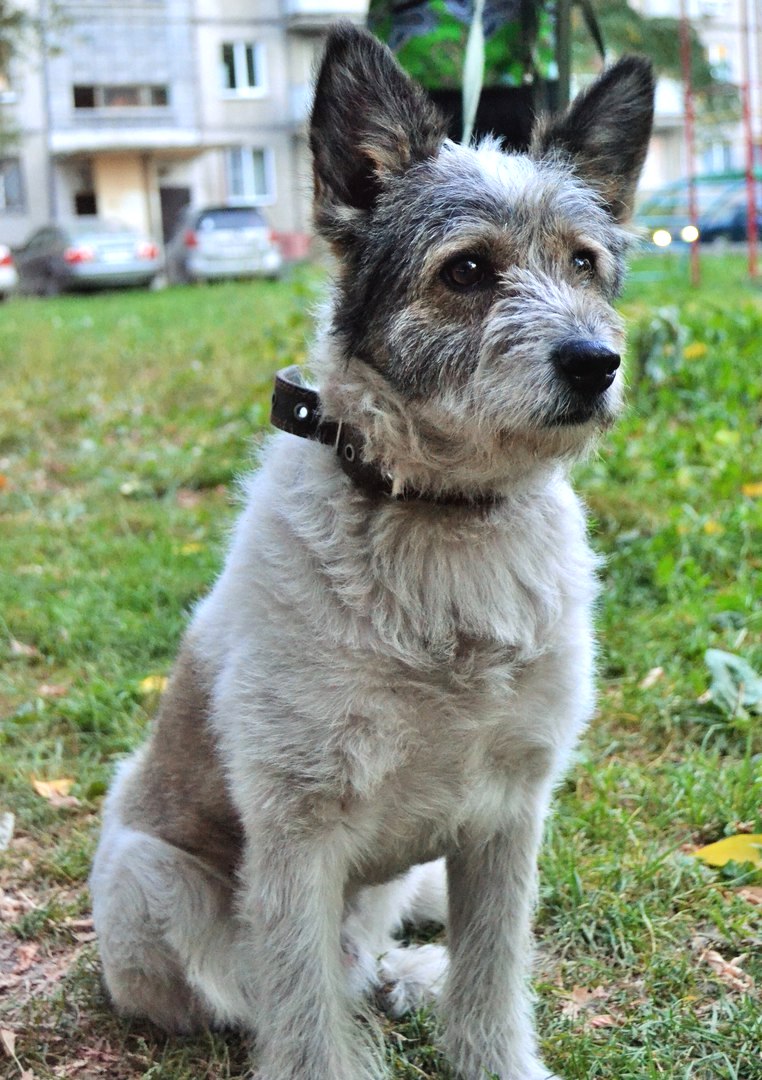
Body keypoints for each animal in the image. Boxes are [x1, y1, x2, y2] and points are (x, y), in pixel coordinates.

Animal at [90, 23, 651, 1080]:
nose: (596, 363)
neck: (445, 526)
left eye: (585, 262)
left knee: (379, 954)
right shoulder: (296, 835)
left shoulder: (507, 816)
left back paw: (409, 974)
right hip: (154, 880)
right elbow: (303, 1010)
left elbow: (492, 977)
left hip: (416, 876)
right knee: (277, 986)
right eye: (466, 271)